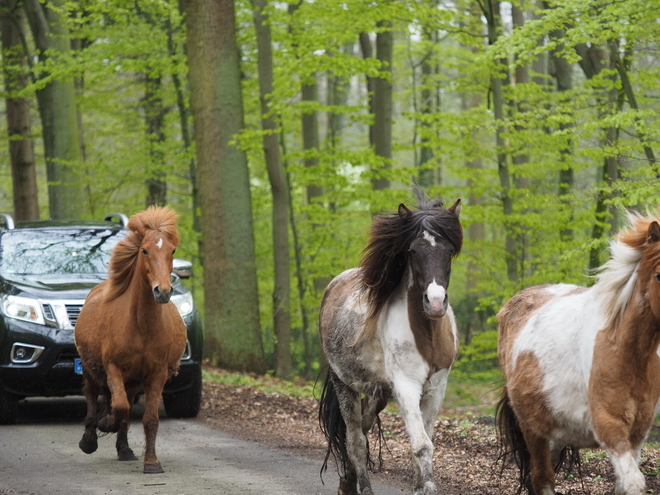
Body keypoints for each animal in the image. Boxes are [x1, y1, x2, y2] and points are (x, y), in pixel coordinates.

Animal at [74, 206, 186, 476]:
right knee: (93, 394)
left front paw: (152, 462)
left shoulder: (156, 374)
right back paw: (89, 439)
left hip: (134, 380)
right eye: (144, 250)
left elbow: (149, 419)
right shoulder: (113, 368)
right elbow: (120, 407)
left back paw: (124, 450)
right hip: (91, 368)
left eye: (172, 250)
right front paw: (104, 424)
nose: (162, 291)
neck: (141, 327)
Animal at [318, 194, 462, 495]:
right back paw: (359, 486)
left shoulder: (436, 389)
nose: (435, 303)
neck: (427, 335)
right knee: (355, 439)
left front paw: (419, 486)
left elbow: (423, 441)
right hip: (343, 383)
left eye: (449, 251)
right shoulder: (406, 385)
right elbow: (421, 445)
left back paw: (348, 481)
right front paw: (426, 487)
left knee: (364, 424)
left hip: (380, 391)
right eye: (413, 251)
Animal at [496, 210, 660, 495]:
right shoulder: (609, 425)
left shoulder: (638, 433)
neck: (626, 350)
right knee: (542, 480)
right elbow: (634, 482)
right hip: (533, 429)